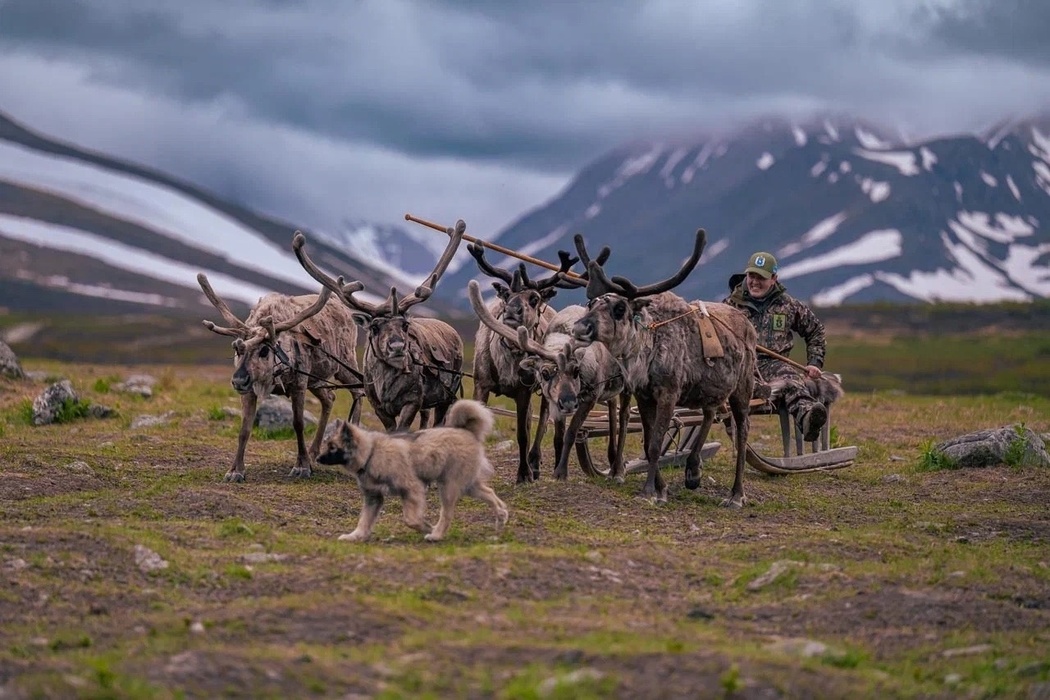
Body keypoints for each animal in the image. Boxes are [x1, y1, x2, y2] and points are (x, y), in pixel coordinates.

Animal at [317, 398, 510, 541]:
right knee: (490, 494)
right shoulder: (373, 497)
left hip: (448, 486)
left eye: (333, 447)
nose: (318, 458)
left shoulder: (412, 489)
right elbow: (364, 520)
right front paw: (355, 536)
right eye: (327, 444)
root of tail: (467, 432)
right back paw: (501, 517)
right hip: (468, 485)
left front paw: (426, 527)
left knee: (447, 514)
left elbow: (410, 519)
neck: (371, 452)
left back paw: (436, 535)